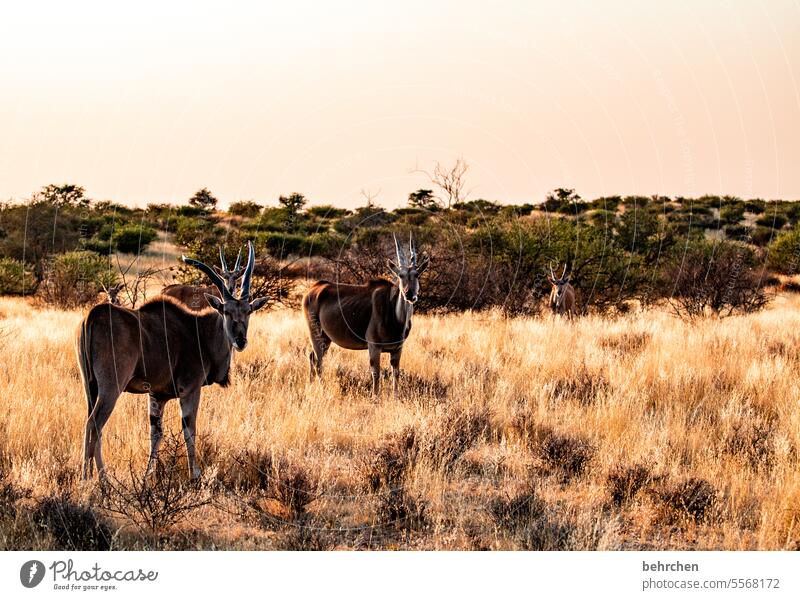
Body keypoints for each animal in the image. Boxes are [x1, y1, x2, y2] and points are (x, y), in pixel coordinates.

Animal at [76, 241, 268, 480]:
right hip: (111, 387)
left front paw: (148, 475)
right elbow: (189, 430)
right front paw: (195, 475)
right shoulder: (190, 390)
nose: (240, 340)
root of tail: (94, 314)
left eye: (248, 310)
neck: (198, 330)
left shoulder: (157, 395)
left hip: (90, 388)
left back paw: (96, 476)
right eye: (225, 311)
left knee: (92, 426)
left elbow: (156, 434)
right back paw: (95, 479)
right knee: (94, 424)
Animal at [304, 234, 432, 398]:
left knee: (313, 358)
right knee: (318, 361)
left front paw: (396, 397)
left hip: (326, 339)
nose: (409, 294)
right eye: (400, 275)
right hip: (316, 335)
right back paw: (322, 390)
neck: (396, 317)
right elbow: (376, 373)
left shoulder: (397, 349)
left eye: (416, 275)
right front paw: (375, 398)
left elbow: (396, 373)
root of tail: (314, 288)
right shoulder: (374, 347)